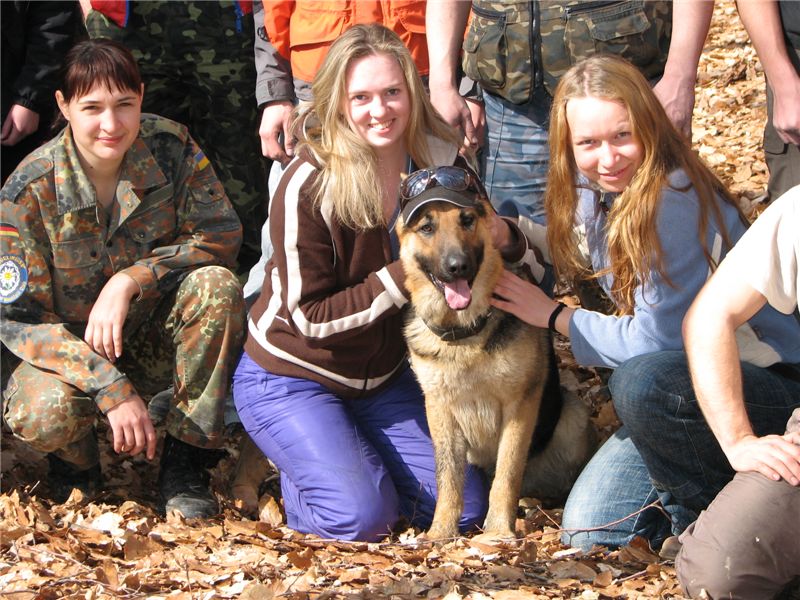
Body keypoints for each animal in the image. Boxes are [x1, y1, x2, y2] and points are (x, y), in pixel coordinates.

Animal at [397, 171, 596, 540]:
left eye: (467, 220)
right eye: (427, 228)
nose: (457, 267)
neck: (465, 334)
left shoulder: (520, 404)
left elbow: (507, 473)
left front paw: (499, 531)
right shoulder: (439, 409)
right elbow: (447, 478)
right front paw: (441, 532)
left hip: (572, 415)